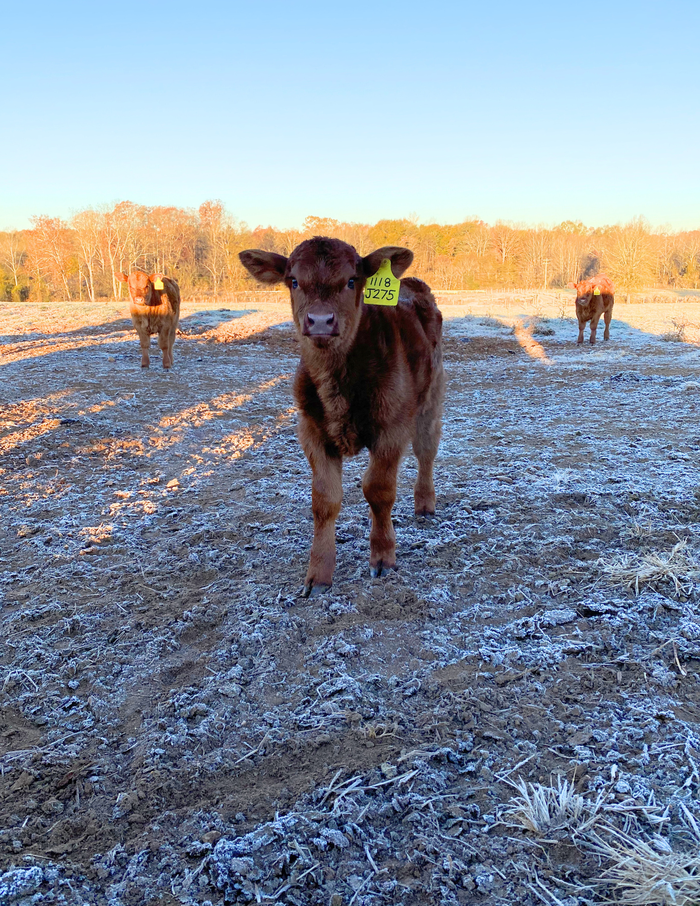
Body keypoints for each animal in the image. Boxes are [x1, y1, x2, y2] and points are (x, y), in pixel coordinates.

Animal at [239, 237, 445, 597]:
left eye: (352, 280)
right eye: (293, 281)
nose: (320, 320)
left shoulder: (392, 429)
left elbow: (378, 490)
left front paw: (382, 557)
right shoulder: (311, 430)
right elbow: (324, 499)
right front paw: (319, 574)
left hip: (430, 399)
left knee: (426, 451)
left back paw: (425, 503)